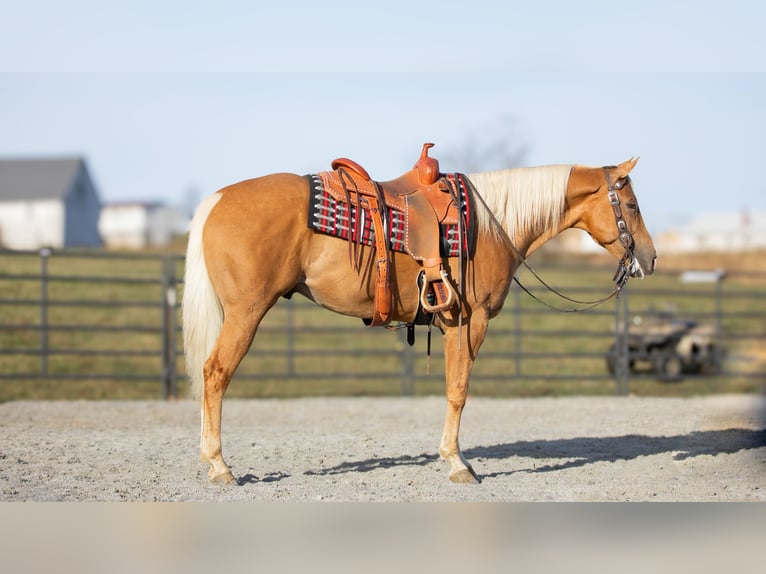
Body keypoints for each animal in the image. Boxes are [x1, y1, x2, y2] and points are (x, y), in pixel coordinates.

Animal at [183, 153, 656, 486]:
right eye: (631, 204)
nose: (650, 259)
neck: (491, 223)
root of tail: (217, 200)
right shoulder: (469, 323)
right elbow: (458, 391)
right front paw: (458, 463)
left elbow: (453, 390)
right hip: (246, 314)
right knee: (215, 374)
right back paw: (220, 466)